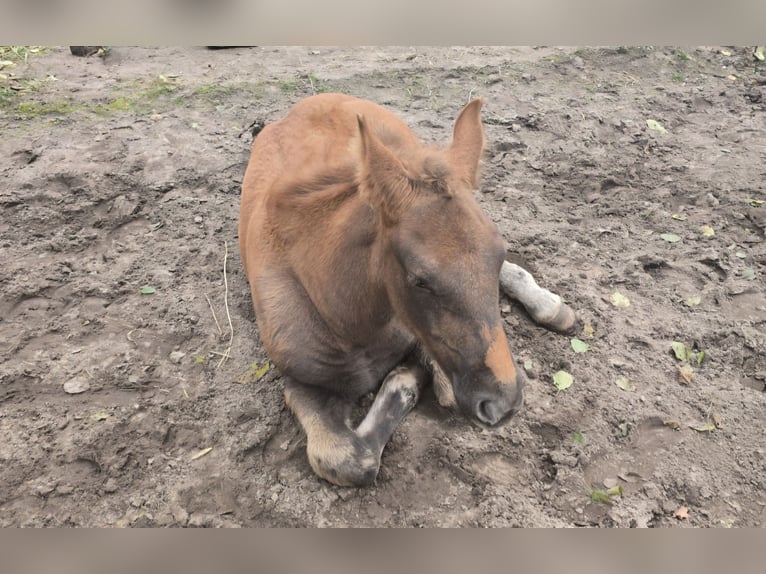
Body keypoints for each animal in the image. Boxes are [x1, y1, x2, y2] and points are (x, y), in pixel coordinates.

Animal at [239, 93, 575, 486]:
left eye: (499, 254)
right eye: (420, 280)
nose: (503, 405)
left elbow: (442, 384)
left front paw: (411, 374)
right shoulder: (299, 382)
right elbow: (346, 459)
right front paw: (405, 378)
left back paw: (550, 306)